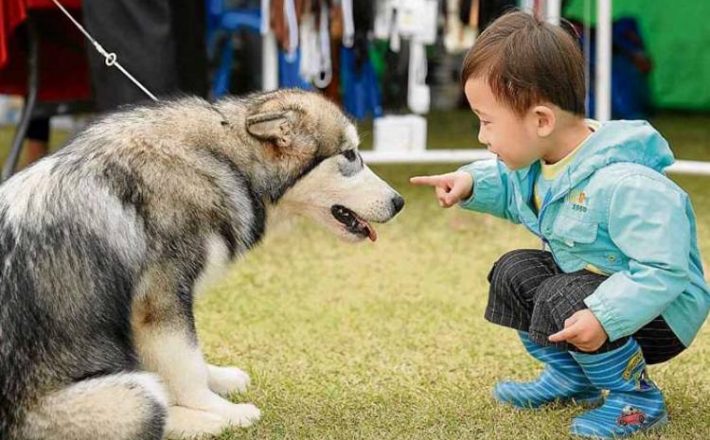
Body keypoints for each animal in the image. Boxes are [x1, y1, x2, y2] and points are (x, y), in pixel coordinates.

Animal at [0, 87, 406, 438]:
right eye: (350, 155)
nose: (399, 202)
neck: (227, 159)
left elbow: (190, 358)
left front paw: (220, 378)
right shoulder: (159, 300)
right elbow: (186, 366)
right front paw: (218, 408)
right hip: (132, 395)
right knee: (156, 411)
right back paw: (214, 422)